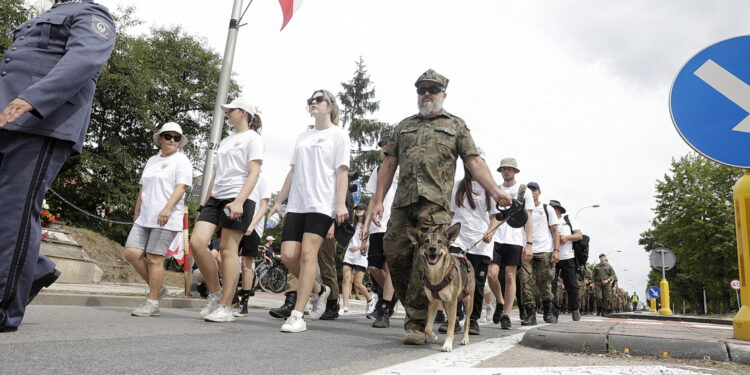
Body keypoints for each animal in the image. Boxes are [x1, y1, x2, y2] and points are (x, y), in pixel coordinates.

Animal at [408, 223, 478, 352]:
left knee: (467, 322)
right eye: (426, 241)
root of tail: (465, 257)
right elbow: (427, 327)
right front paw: (434, 337)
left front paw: (447, 344)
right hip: (446, 304)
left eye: (440, 241)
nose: (432, 248)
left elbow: (451, 326)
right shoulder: (433, 302)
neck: (436, 274)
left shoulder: (452, 301)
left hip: (467, 300)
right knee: (452, 319)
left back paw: (465, 339)